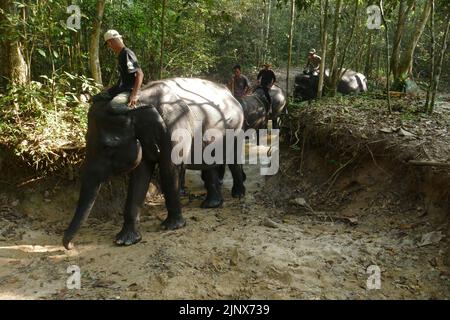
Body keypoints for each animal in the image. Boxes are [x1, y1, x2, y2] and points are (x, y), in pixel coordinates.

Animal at [62, 77, 246, 250]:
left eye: (107, 147)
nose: (71, 246)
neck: (140, 100)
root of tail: (231, 95)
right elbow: (139, 175)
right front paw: (125, 240)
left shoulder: (175, 129)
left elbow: (168, 170)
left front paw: (171, 227)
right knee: (208, 165)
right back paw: (211, 205)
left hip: (236, 127)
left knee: (233, 159)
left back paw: (238, 195)